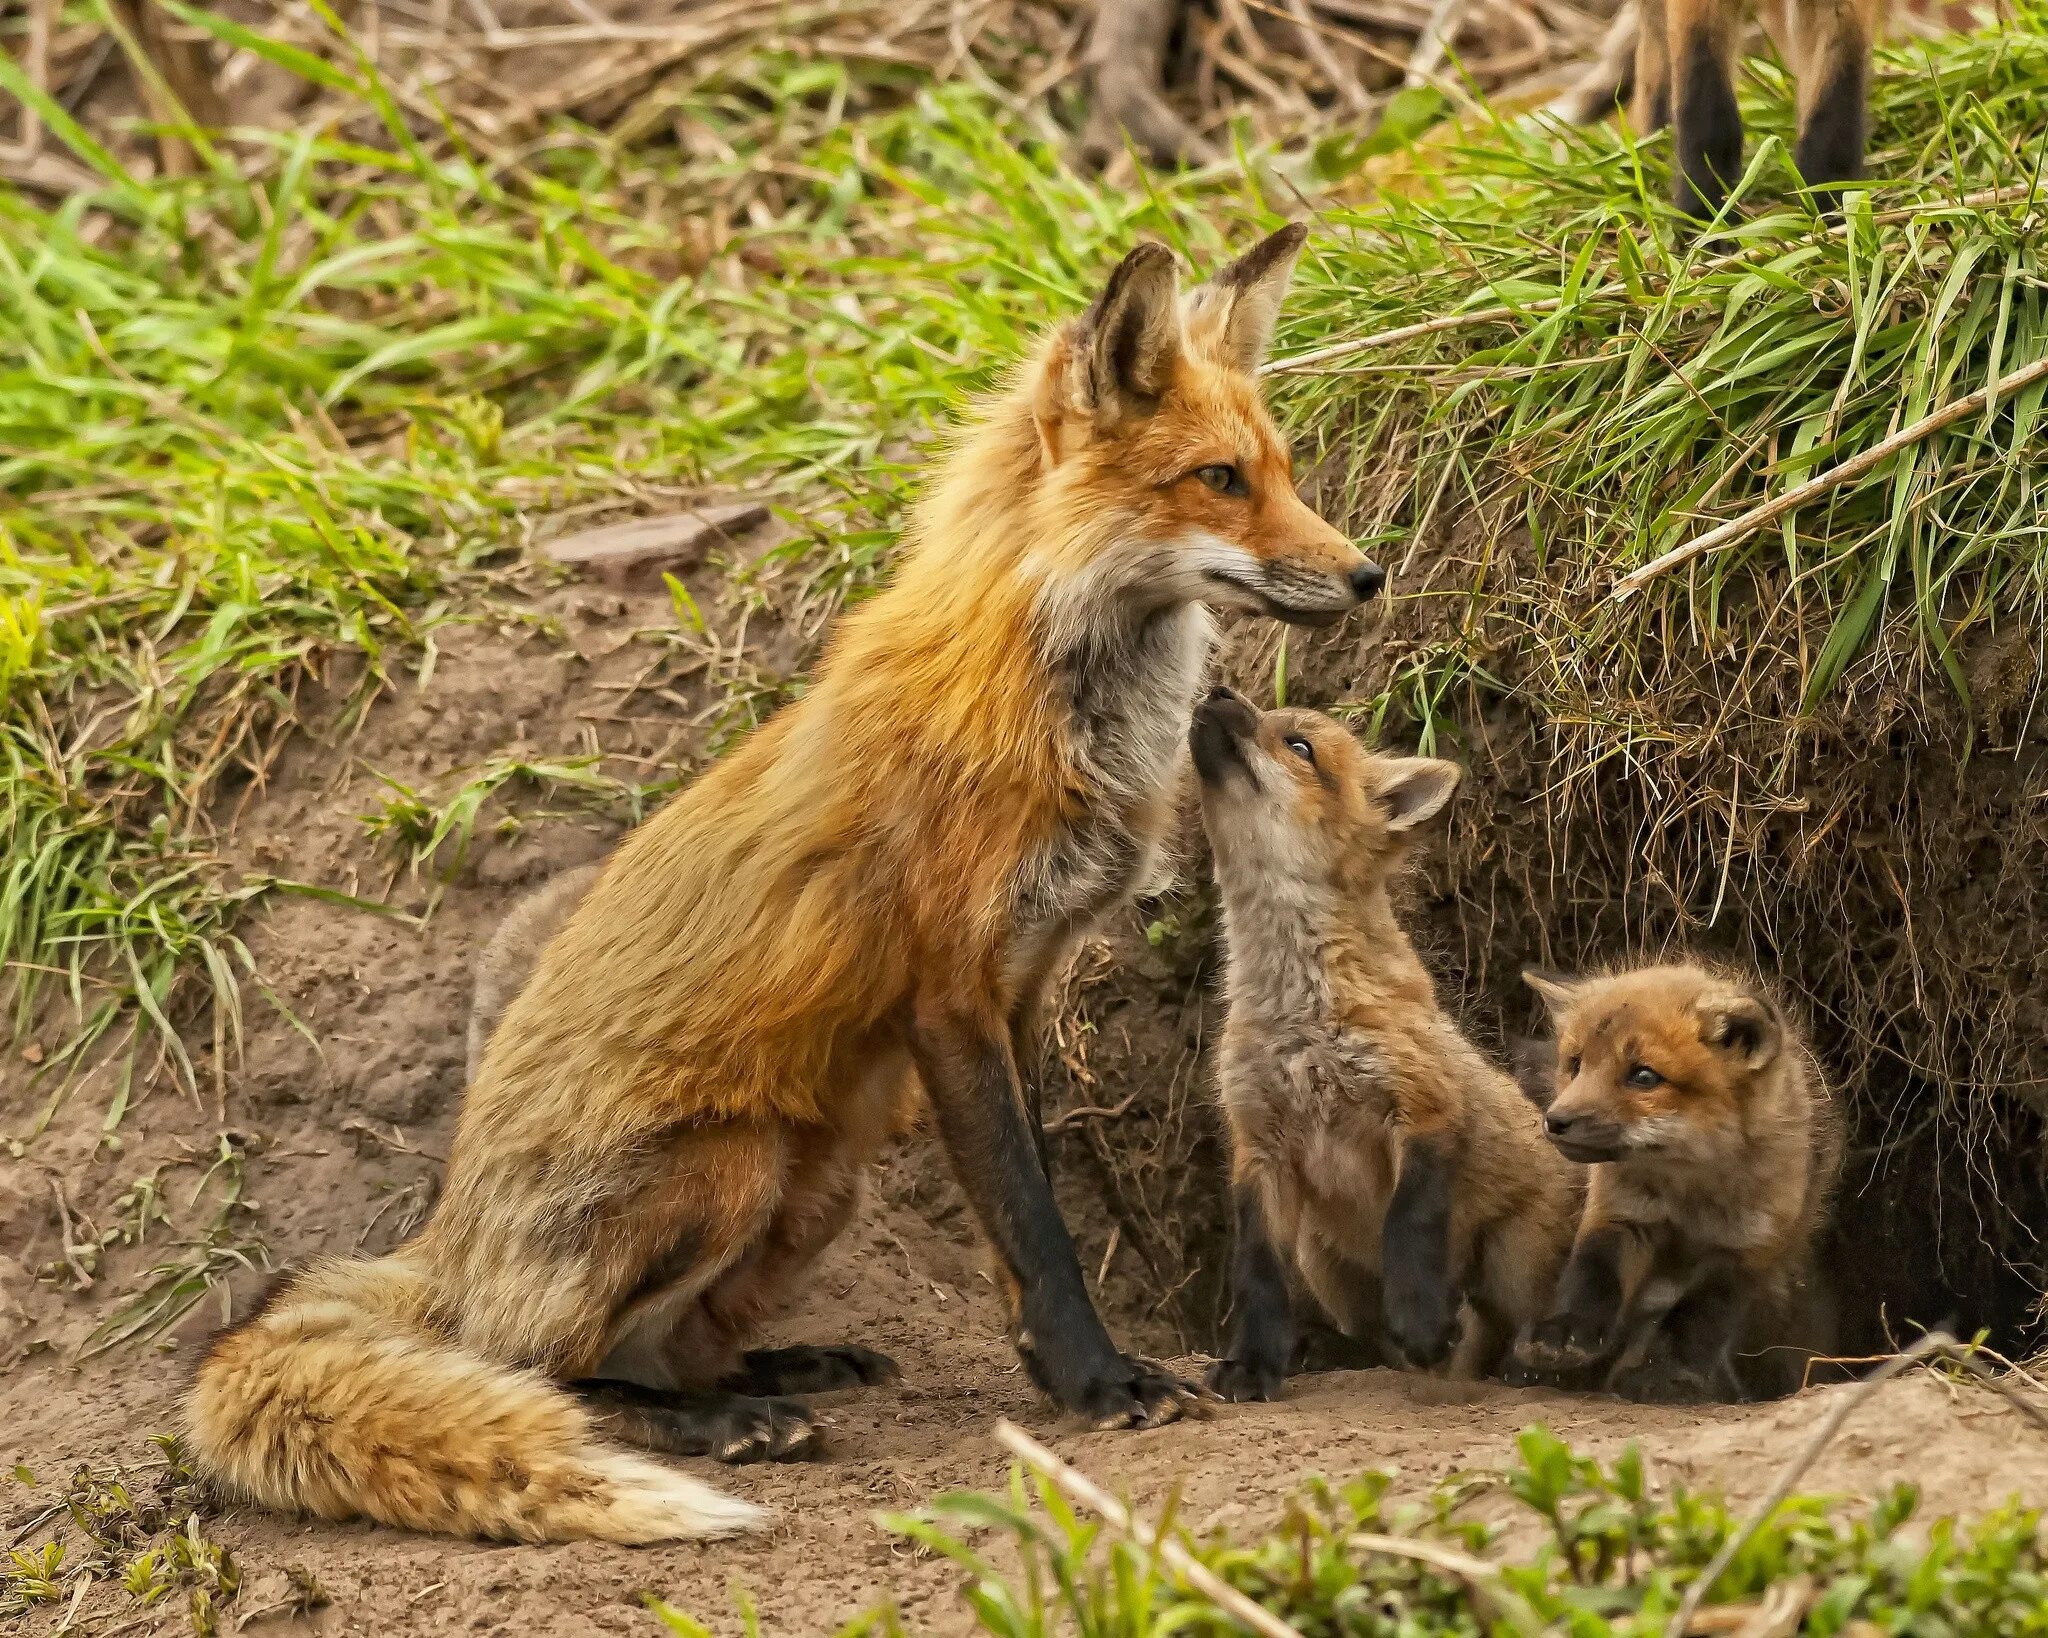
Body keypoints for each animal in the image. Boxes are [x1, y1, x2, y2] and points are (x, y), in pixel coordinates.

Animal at [188, 224, 1392, 1539]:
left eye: (1281, 472)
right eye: (1219, 479)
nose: (1367, 574)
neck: (1049, 699)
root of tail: (444, 1242)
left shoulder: (1020, 987)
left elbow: (1017, 1223)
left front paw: (1051, 1370)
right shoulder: (946, 996)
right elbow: (1038, 1227)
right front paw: (1096, 1382)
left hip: (816, 1186)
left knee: (661, 1346)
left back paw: (772, 1372)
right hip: (732, 1165)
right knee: (544, 1368)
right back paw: (716, 1422)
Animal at [1187, 696, 1581, 1400]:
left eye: (1299, 745)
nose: (1218, 692)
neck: (1299, 1014)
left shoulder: (1422, 1107)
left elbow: (1409, 1228)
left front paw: (1421, 1319)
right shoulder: (1258, 1146)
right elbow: (1257, 1276)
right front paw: (1253, 1363)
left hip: (1512, 1263)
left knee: (1508, 1332)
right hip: (1323, 1261)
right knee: (1377, 1342)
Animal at [1507, 966, 1843, 1400]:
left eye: (1644, 1076)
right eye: (1576, 1064)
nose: (1556, 1121)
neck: (1689, 1190)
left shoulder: (1750, 1246)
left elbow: (1700, 1316)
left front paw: (1667, 1371)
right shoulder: (1620, 1214)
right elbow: (1590, 1279)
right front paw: (1561, 1332)